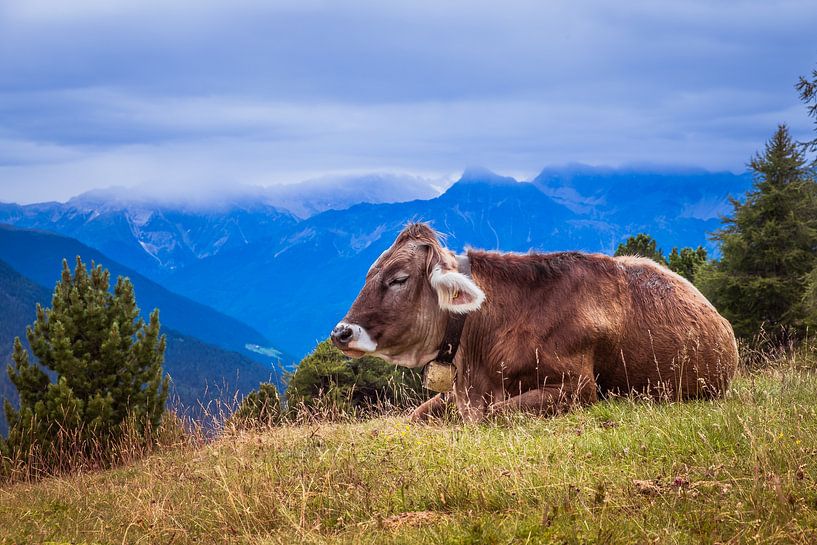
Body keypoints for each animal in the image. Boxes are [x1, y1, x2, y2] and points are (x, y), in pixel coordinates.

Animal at [331, 223, 738, 422]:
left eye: (398, 279)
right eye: (369, 274)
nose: (341, 332)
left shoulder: (579, 388)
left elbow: (494, 415)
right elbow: (413, 416)